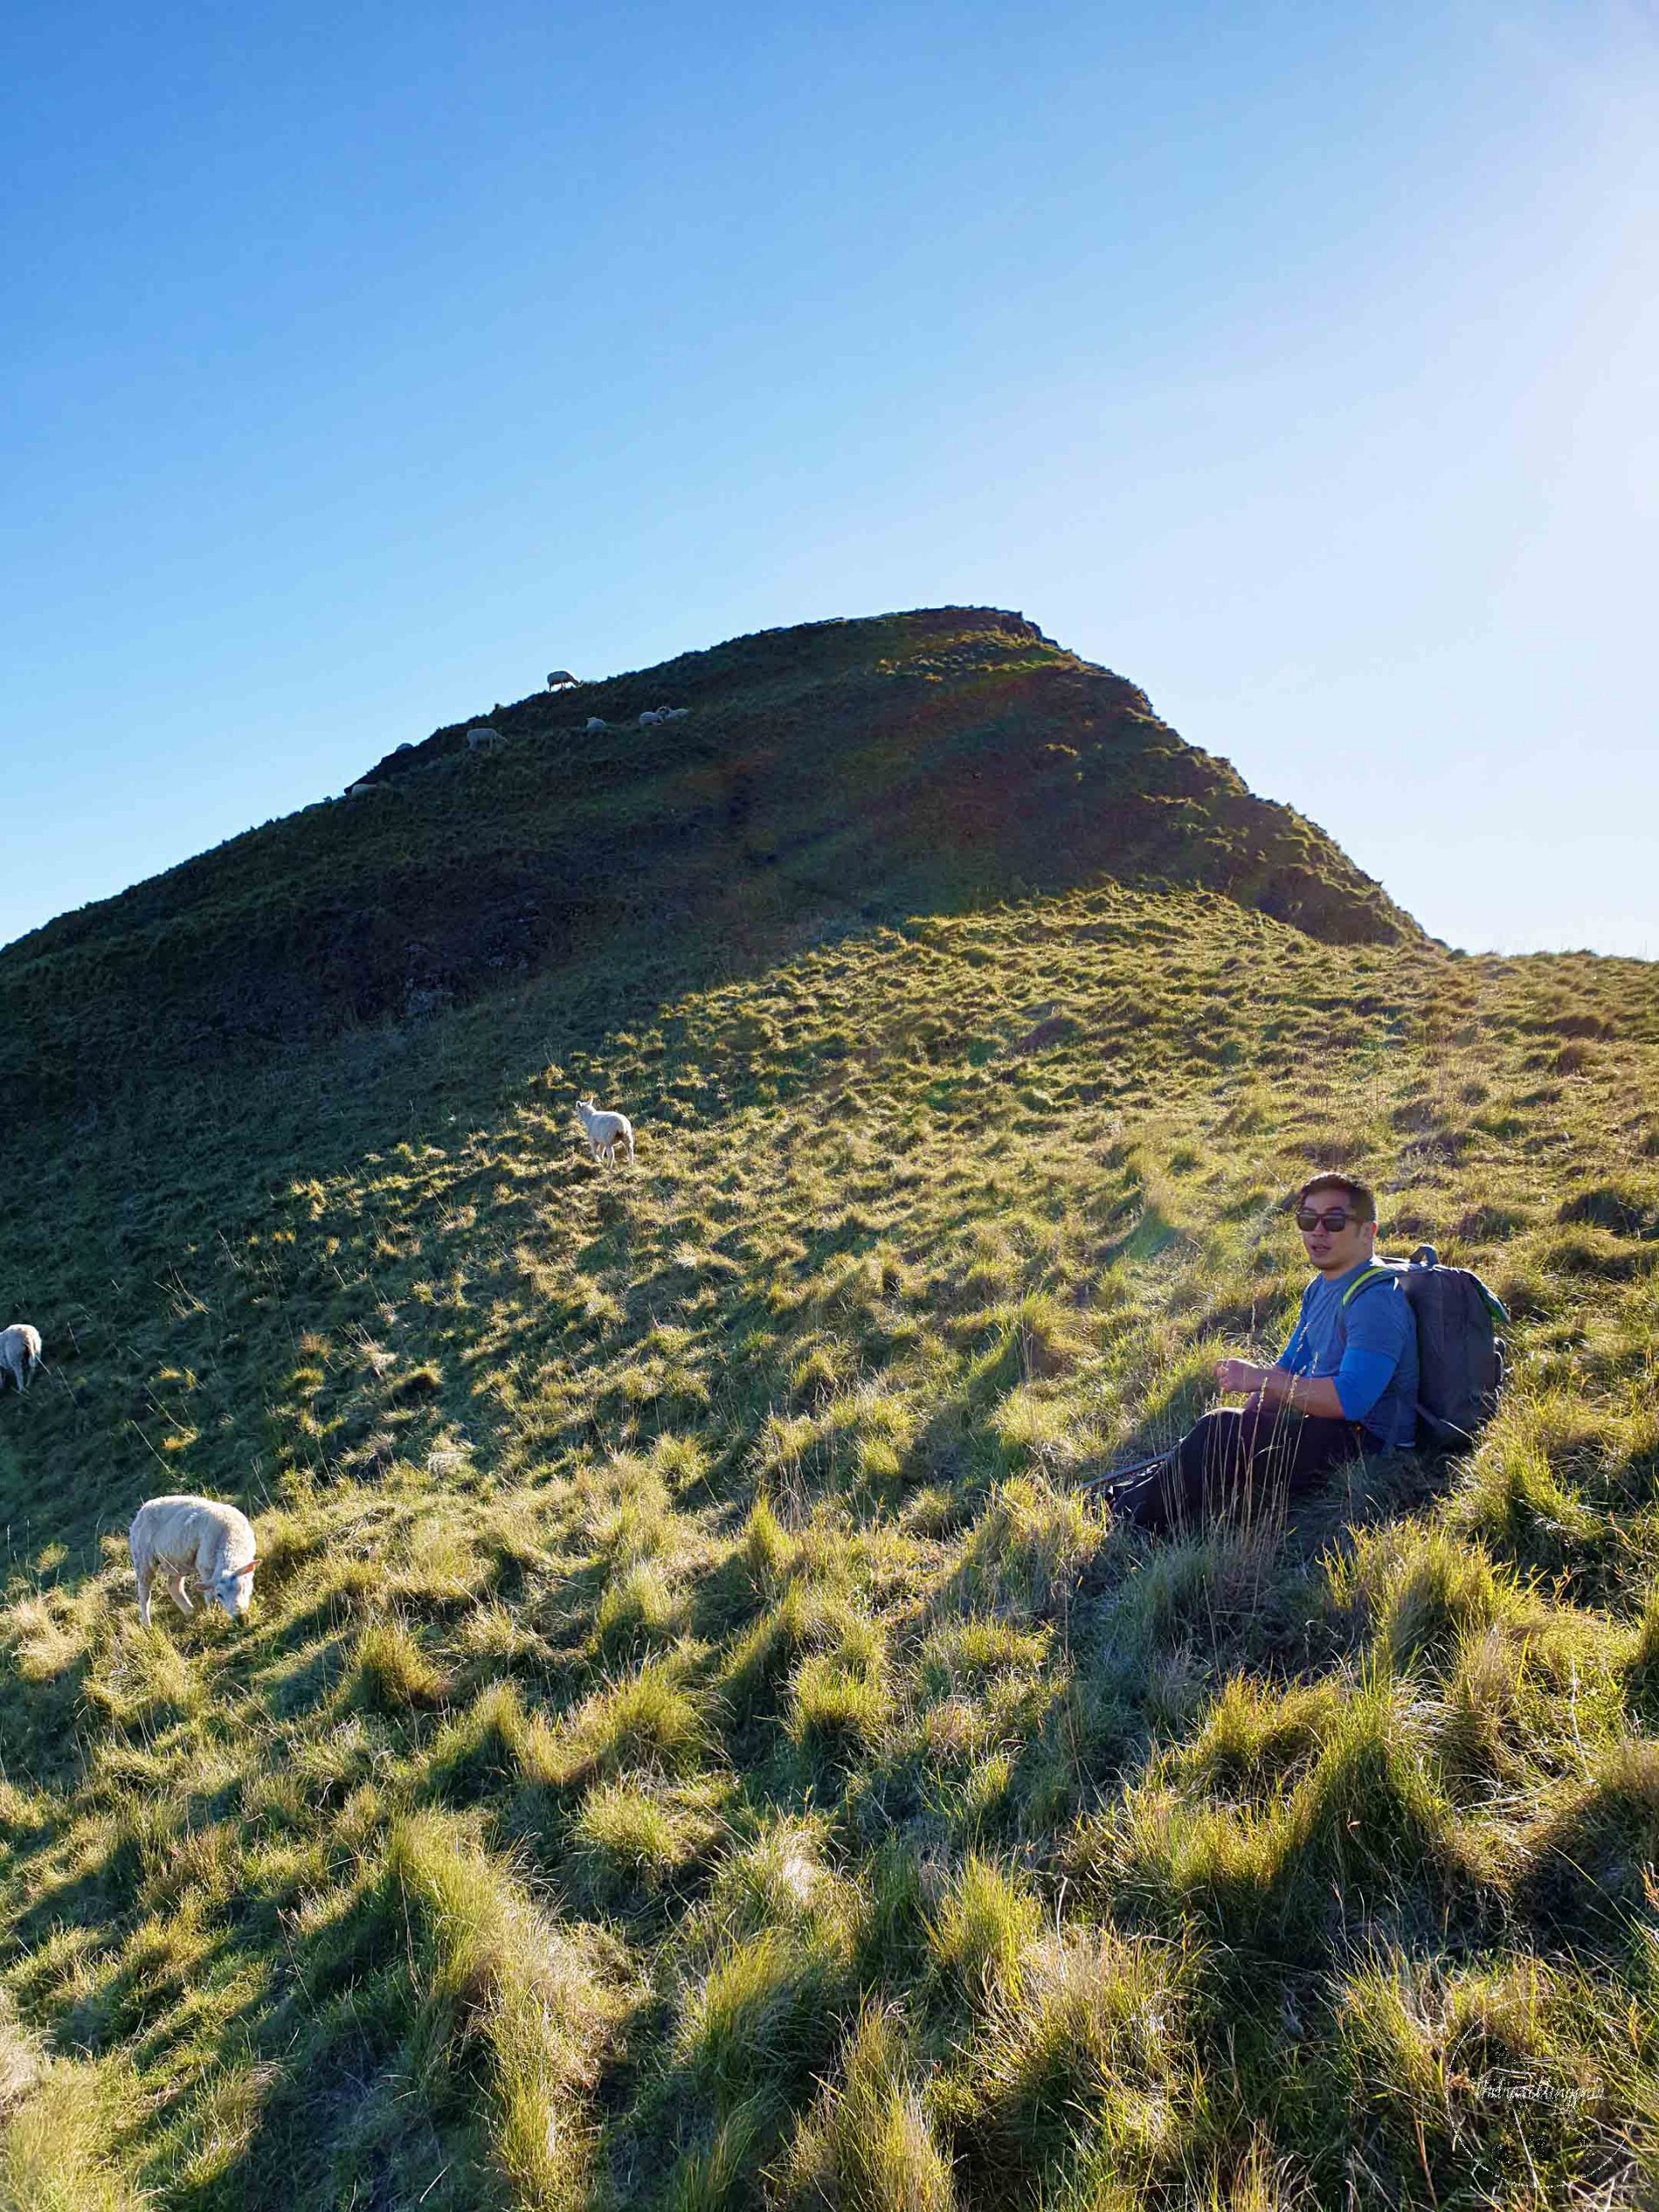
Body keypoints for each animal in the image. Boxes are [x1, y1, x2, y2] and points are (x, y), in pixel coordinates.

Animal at [130, 1495, 259, 1637]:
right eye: (220, 1595)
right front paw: (214, 1613)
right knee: (144, 1593)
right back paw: (147, 1625)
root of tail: (145, 1507)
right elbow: (209, 1594)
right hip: (142, 1558)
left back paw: (191, 1612)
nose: (240, 1618)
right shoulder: (205, 1567)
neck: (230, 1537)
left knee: (173, 1586)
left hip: (176, 1562)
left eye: (242, 1587)